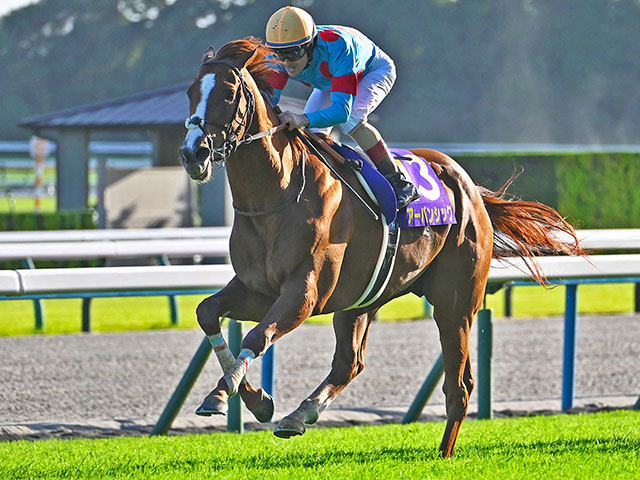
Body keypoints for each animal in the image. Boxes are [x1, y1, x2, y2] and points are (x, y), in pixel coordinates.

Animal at [179, 37, 580, 458]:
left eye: (227, 94)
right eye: (191, 92)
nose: (193, 153)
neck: (278, 193)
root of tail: (469, 187)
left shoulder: (304, 294)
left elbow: (257, 336)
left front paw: (235, 396)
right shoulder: (257, 289)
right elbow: (207, 312)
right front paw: (245, 398)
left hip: (456, 304)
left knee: (459, 385)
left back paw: (444, 453)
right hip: (362, 300)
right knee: (349, 364)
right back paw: (299, 416)